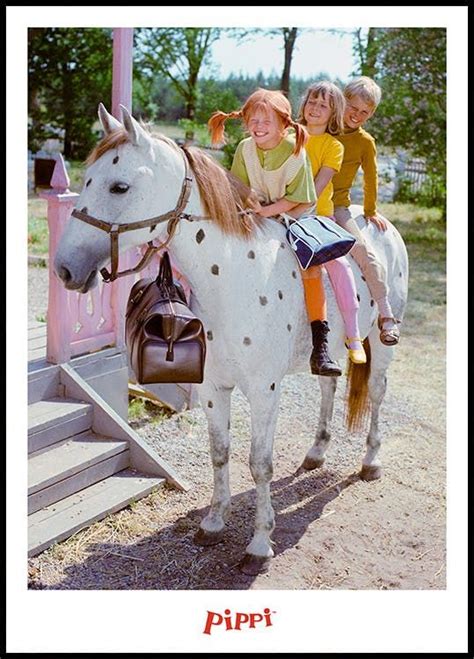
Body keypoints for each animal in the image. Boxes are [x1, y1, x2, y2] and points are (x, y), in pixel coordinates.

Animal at [54, 104, 408, 576]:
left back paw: (371, 461)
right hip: (328, 353)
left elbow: (260, 464)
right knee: (328, 386)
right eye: (88, 178)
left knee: (378, 393)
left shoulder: (263, 391)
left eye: (119, 186)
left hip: (382, 345)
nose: (64, 268)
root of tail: (380, 224)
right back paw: (316, 453)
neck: (234, 277)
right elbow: (220, 451)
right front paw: (213, 522)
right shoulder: (212, 387)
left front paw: (259, 543)